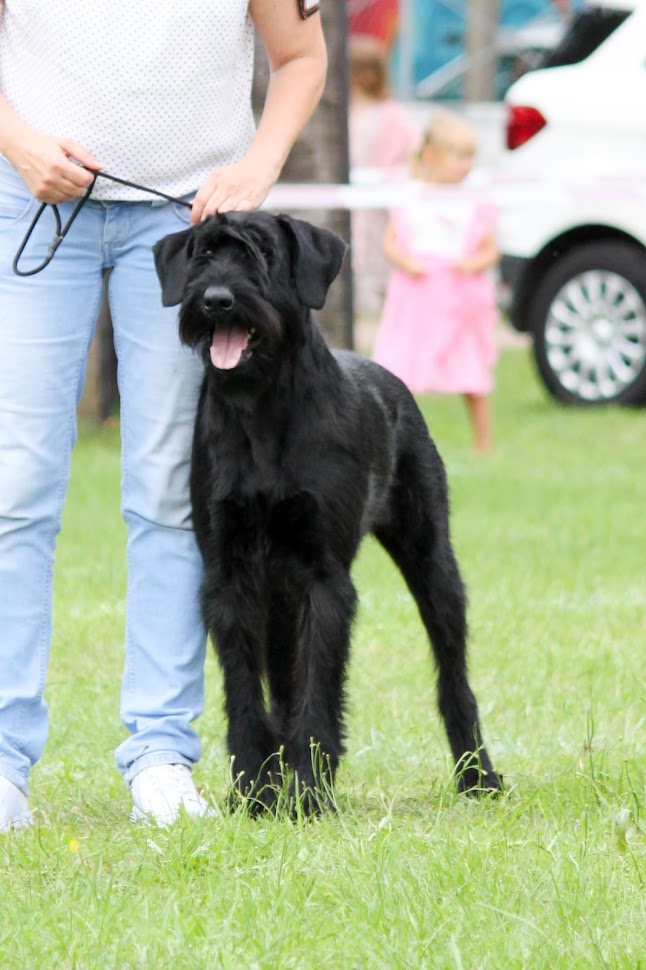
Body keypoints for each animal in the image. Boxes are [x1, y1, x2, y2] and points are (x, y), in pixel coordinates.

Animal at [153, 211, 502, 814]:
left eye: (264, 254)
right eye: (203, 254)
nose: (217, 300)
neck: (260, 406)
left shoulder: (322, 576)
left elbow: (317, 691)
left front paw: (310, 794)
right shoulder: (229, 577)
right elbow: (246, 693)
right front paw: (255, 792)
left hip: (432, 561)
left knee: (453, 675)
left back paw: (478, 775)